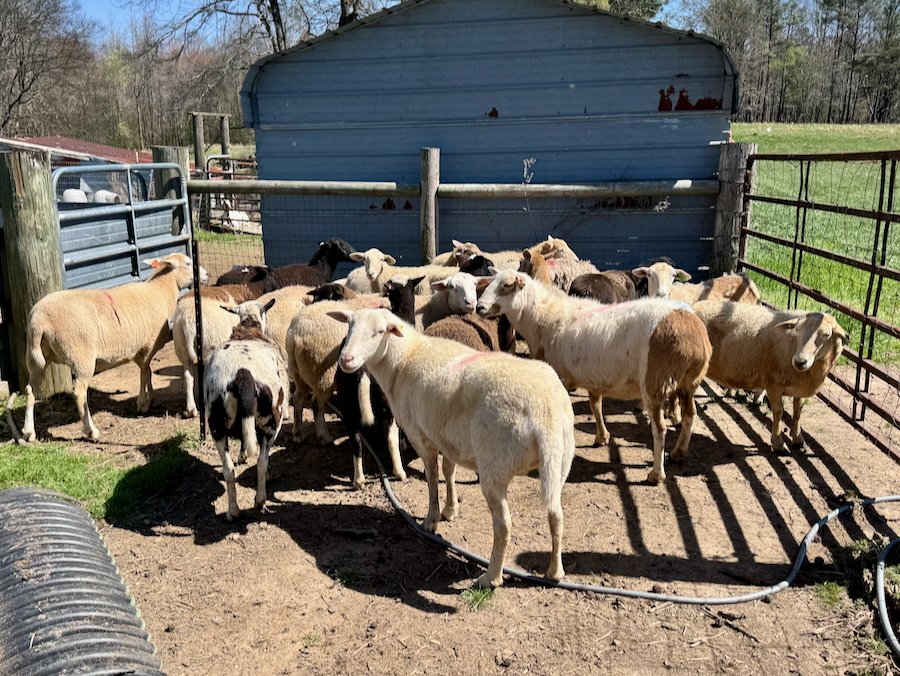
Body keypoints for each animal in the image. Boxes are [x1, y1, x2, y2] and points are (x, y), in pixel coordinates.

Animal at [19, 253, 207, 441]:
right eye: (188, 263)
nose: (206, 275)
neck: (160, 291)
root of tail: (39, 319)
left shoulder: (139, 350)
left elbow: (148, 373)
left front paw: (150, 398)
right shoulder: (147, 346)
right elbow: (144, 374)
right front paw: (142, 403)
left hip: (37, 358)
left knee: (30, 390)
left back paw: (28, 432)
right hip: (81, 356)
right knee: (79, 393)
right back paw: (91, 431)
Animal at [204, 299, 288, 520]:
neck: (248, 329)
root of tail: (243, 374)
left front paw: (241, 455)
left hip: (215, 423)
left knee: (228, 469)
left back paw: (233, 511)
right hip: (272, 422)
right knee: (261, 461)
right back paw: (260, 502)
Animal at [328, 308, 575, 589]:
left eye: (379, 332)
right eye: (348, 326)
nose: (345, 359)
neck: (403, 360)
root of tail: (545, 415)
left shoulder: (421, 436)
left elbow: (432, 477)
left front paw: (431, 520)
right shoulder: (447, 437)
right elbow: (449, 471)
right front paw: (450, 509)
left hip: (495, 466)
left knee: (503, 525)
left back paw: (491, 577)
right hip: (559, 462)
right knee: (556, 514)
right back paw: (554, 572)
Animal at [476, 271, 711, 484]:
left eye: (507, 285)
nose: (479, 307)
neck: (539, 319)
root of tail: (696, 334)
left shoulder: (561, 377)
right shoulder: (593, 376)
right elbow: (595, 405)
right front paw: (602, 437)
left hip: (655, 383)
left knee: (660, 429)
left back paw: (656, 474)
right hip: (688, 383)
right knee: (690, 416)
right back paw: (679, 453)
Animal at [693, 300, 847, 451]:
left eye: (826, 335)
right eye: (797, 330)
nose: (799, 361)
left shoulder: (799, 387)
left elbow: (798, 411)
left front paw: (798, 439)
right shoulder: (773, 383)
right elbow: (778, 411)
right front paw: (778, 443)